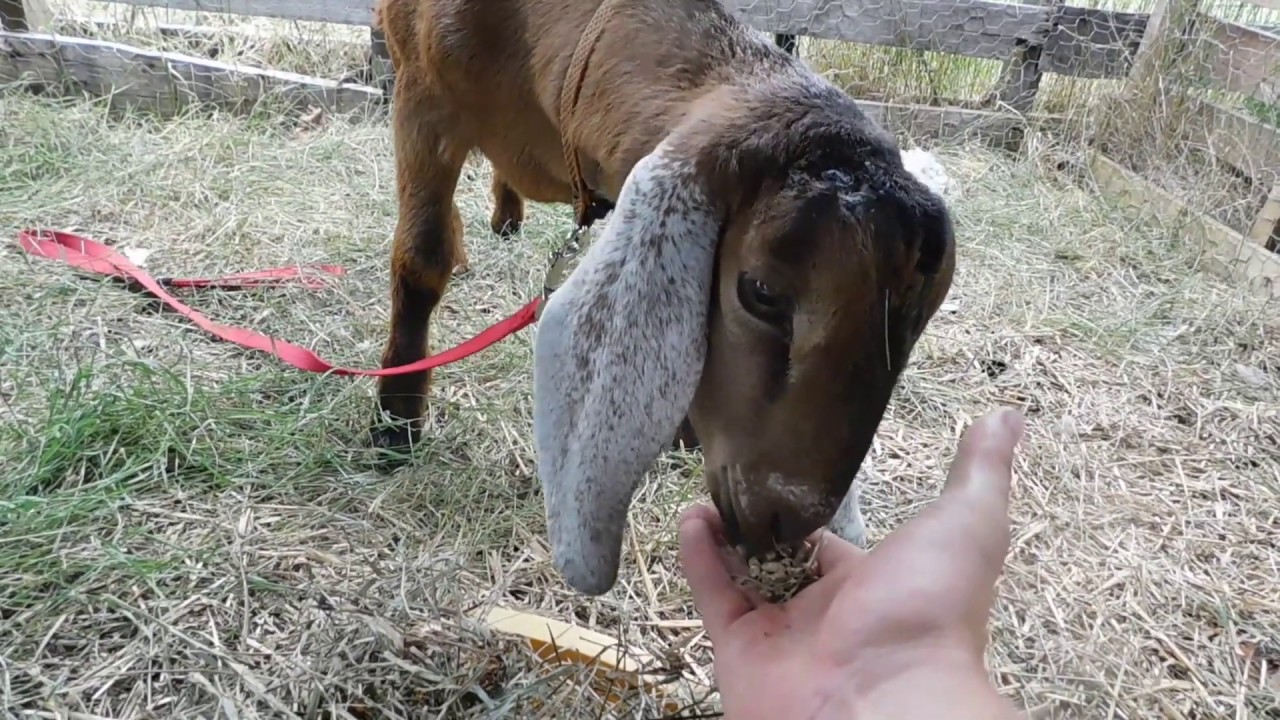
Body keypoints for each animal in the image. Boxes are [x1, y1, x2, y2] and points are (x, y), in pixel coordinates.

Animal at [370, 0, 957, 596]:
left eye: (918, 323)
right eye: (762, 293)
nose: (787, 519)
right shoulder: (421, 97)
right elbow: (422, 261)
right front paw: (395, 421)